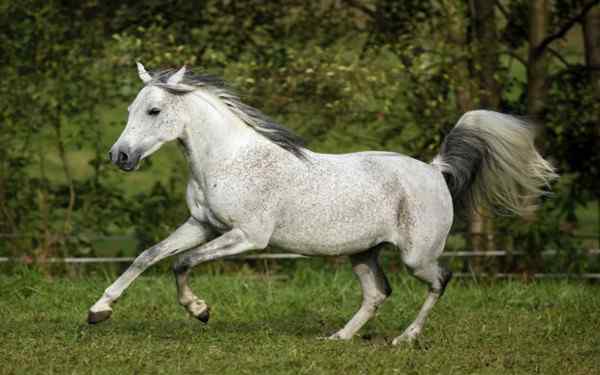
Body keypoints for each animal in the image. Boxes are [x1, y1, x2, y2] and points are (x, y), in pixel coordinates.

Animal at [86, 63, 556, 346]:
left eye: (153, 110)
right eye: (129, 109)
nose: (119, 156)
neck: (228, 159)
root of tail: (434, 170)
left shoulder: (247, 237)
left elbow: (182, 263)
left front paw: (199, 311)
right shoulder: (202, 224)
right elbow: (148, 256)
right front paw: (98, 311)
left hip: (416, 256)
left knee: (440, 280)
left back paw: (405, 338)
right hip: (362, 252)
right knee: (377, 293)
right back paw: (338, 338)